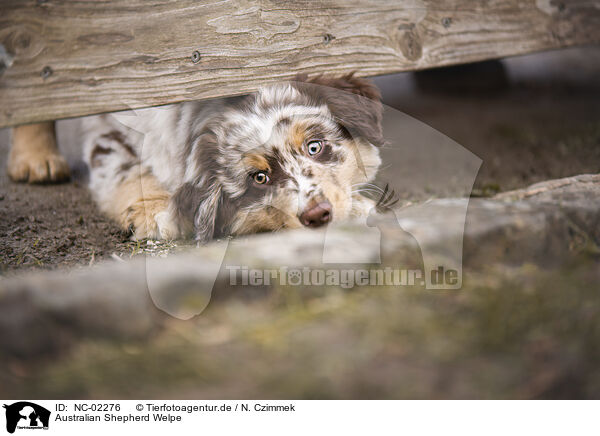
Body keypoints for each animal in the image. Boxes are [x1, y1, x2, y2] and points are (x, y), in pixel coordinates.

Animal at [82, 73, 386, 240]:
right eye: (259, 178)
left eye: (314, 147)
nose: (318, 215)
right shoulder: (106, 122)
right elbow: (122, 165)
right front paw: (152, 211)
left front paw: (358, 205)